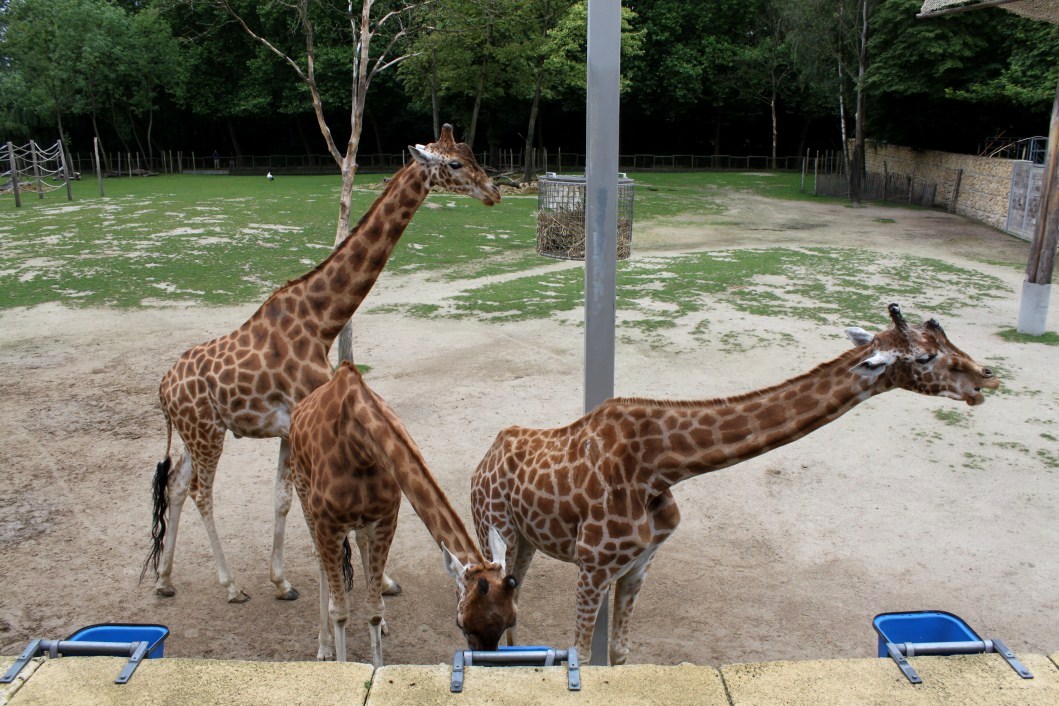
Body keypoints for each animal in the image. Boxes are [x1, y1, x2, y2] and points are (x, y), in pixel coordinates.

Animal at [142, 125, 500, 603]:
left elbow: (281, 499)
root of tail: (163, 389)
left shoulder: (288, 427)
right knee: (202, 492)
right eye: (456, 164)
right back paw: (231, 586)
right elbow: (303, 506)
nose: (494, 192)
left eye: (472, 155)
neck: (321, 321)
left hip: (193, 433)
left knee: (178, 485)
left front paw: (284, 581)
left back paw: (165, 580)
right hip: (205, 434)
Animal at [290, 361, 518, 665]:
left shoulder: (385, 518)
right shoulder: (329, 525)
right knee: (320, 561)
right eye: (461, 624)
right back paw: (324, 646)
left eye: (510, 621)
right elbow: (340, 611)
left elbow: (375, 609)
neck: (359, 447)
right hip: (303, 496)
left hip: (361, 523)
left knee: (361, 545)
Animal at [471, 304, 999, 665]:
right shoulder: (594, 565)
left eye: (947, 339)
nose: (986, 378)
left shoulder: (640, 562)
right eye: (927, 356)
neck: (659, 467)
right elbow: (579, 652)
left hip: (527, 541)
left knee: (515, 607)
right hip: (494, 529)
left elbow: (619, 653)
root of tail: (485, 457)